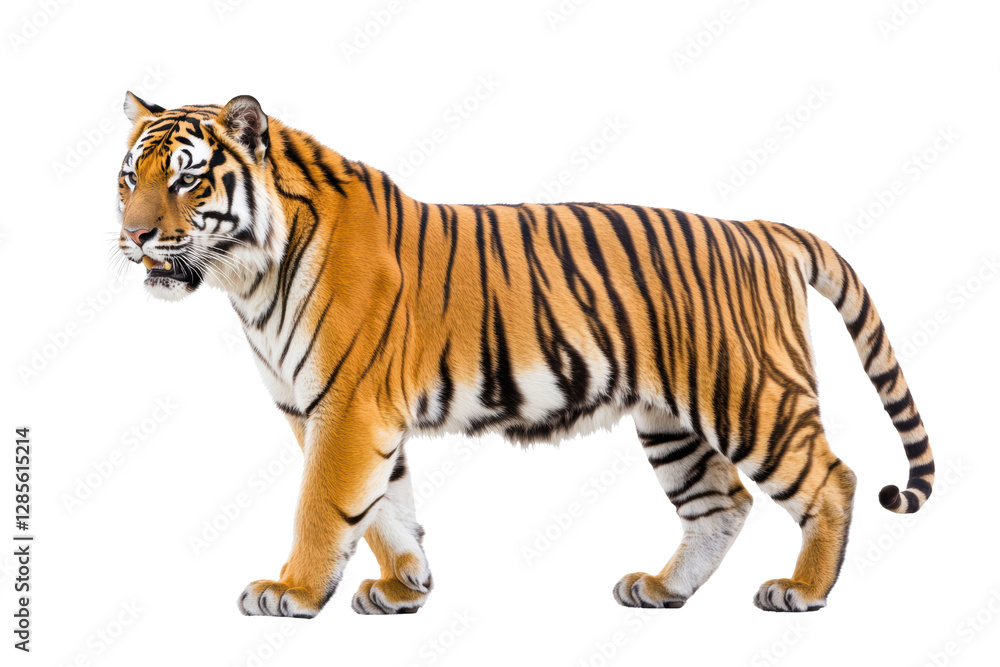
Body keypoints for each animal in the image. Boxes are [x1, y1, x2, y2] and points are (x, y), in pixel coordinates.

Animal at [115, 92, 934, 617]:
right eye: (129, 178)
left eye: (187, 177)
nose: (134, 236)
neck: (249, 274)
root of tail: (763, 229)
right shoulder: (336, 412)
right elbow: (386, 509)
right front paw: (407, 587)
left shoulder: (345, 408)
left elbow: (324, 507)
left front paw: (291, 592)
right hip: (671, 421)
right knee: (722, 502)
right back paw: (663, 589)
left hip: (748, 396)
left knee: (832, 479)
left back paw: (804, 591)